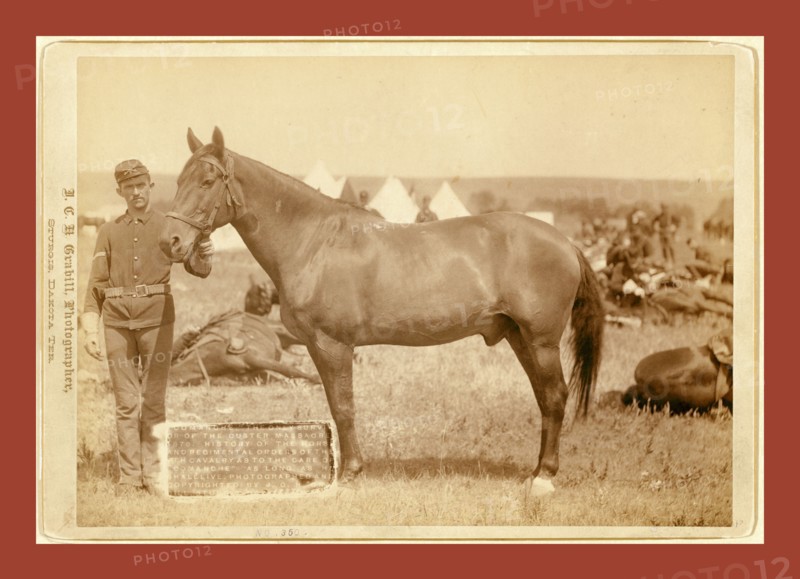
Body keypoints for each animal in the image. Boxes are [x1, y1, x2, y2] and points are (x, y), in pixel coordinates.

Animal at [159, 127, 605, 496]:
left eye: (207, 181)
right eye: (177, 181)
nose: (171, 241)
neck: (315, 241)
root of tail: (565, 242)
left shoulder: (333, 345)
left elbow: (343, 406)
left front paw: (350, 473)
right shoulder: (317, 347)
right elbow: (335, 403)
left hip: (541, 342)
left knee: (555, 396)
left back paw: (544, 477)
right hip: (518, 337)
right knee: (544, 398)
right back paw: (537, 471)